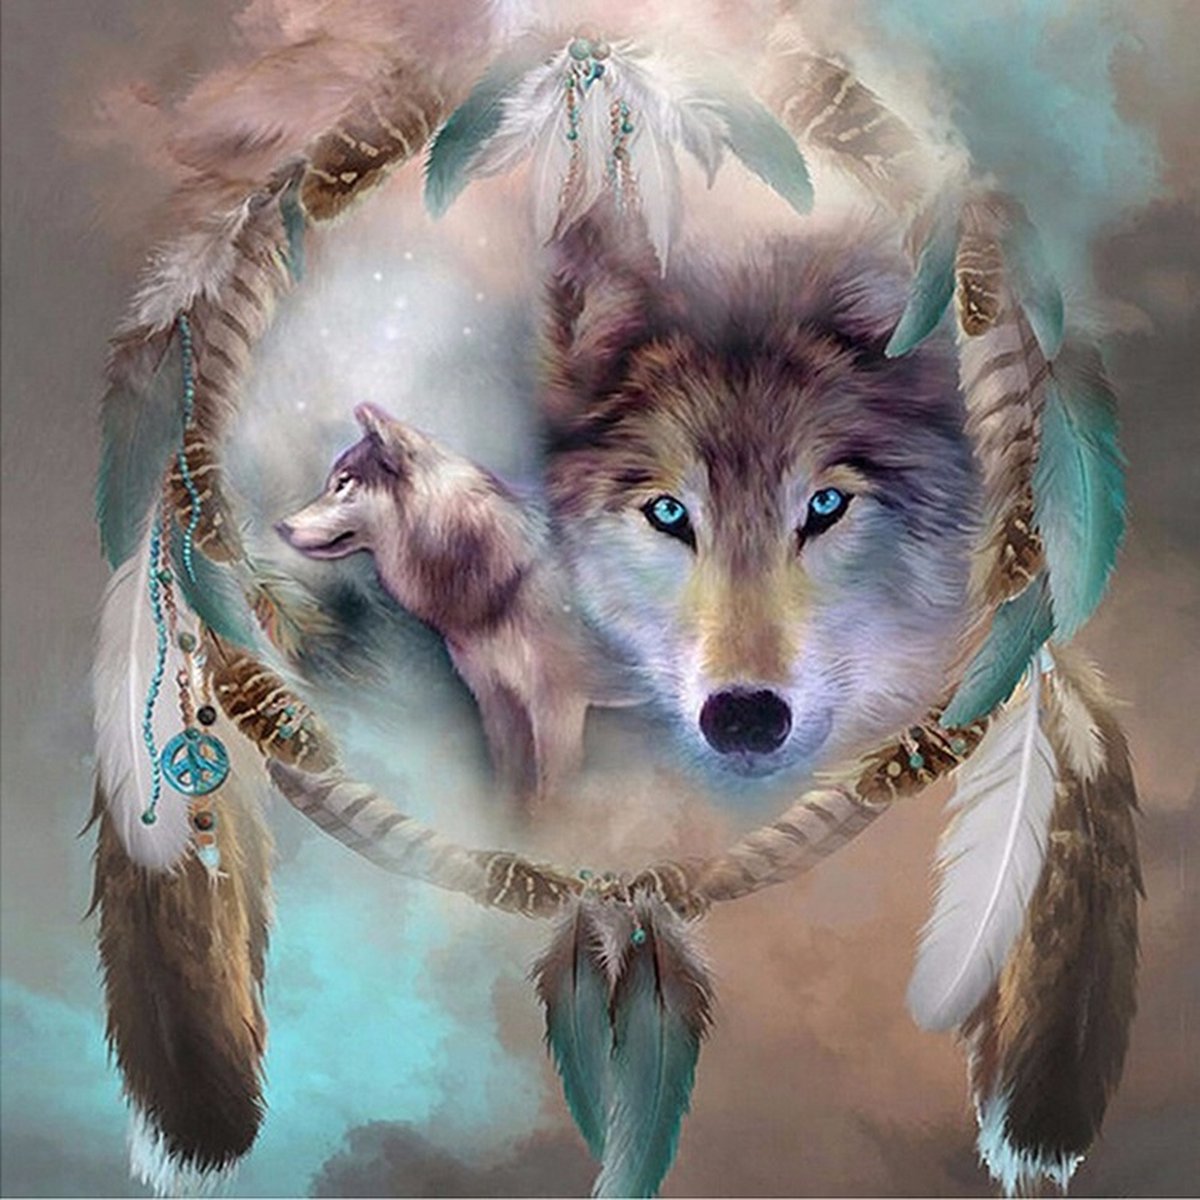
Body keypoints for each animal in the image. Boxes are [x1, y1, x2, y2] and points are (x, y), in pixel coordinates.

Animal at [281, 215, 980, 800]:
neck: (492, 577)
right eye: (668, 514)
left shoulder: (558, 709)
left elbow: (550, 798)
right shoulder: (499, 706)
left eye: (343, 482)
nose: (281, 524)